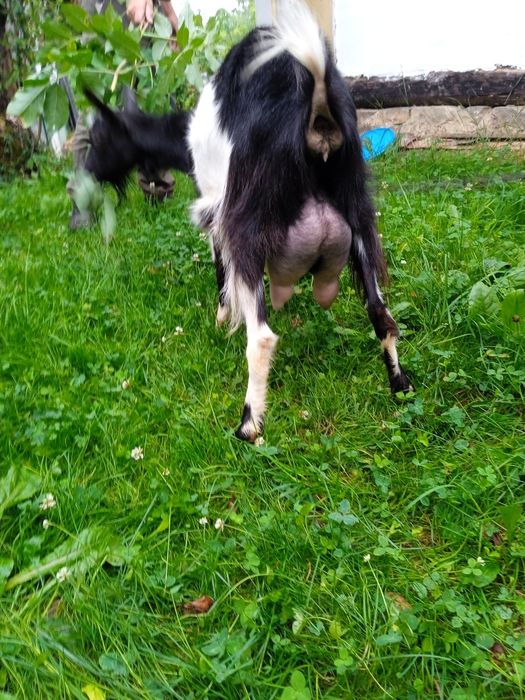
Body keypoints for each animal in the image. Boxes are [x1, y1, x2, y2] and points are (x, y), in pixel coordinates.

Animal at [84, 0, 413, 442]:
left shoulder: (217, 210)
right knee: (381, 314)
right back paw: (401, 387)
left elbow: (219, 269)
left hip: (249, 226)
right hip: (357, 215)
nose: (85, 171)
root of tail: (315, 104)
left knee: (262, 337)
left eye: (99, 137)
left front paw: (223, 318)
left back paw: (248, 424)